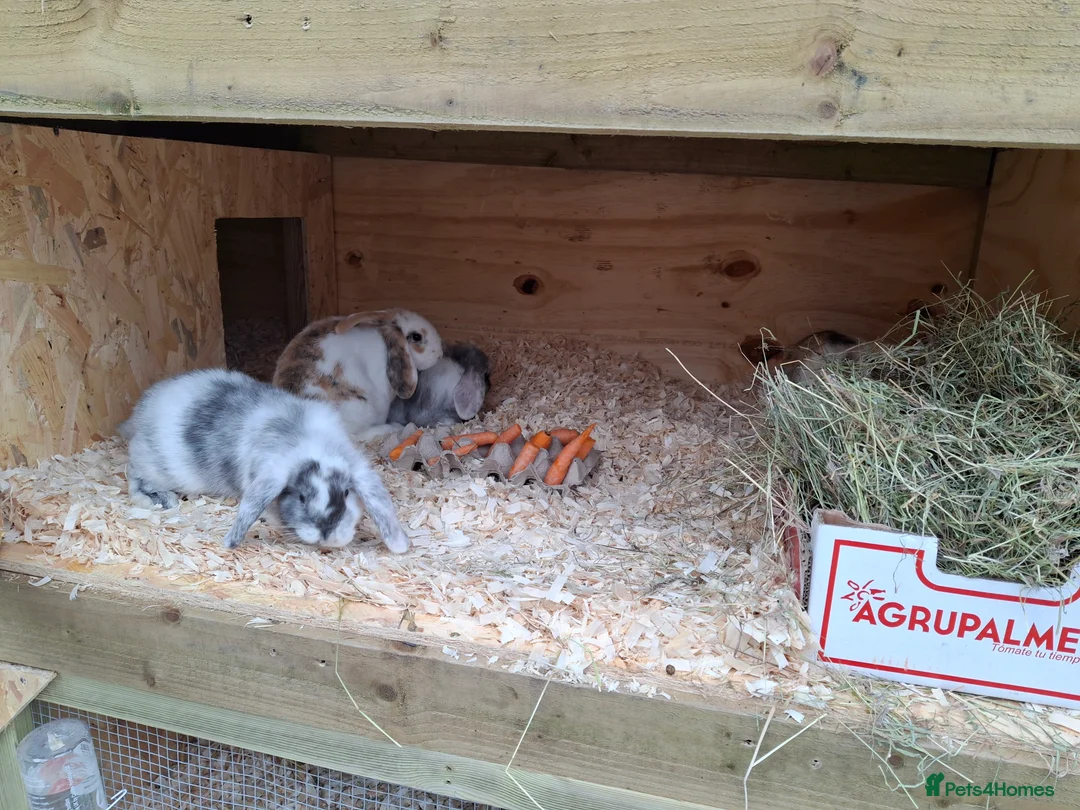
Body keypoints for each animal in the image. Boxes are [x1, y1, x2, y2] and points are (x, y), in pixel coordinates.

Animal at [117, 368, 410, 553]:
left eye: (347, 493)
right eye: (301, 497)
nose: (326, 532)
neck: (309, 442)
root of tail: (143, 410)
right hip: (155, 463)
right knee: (135, 476)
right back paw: (160, 499)